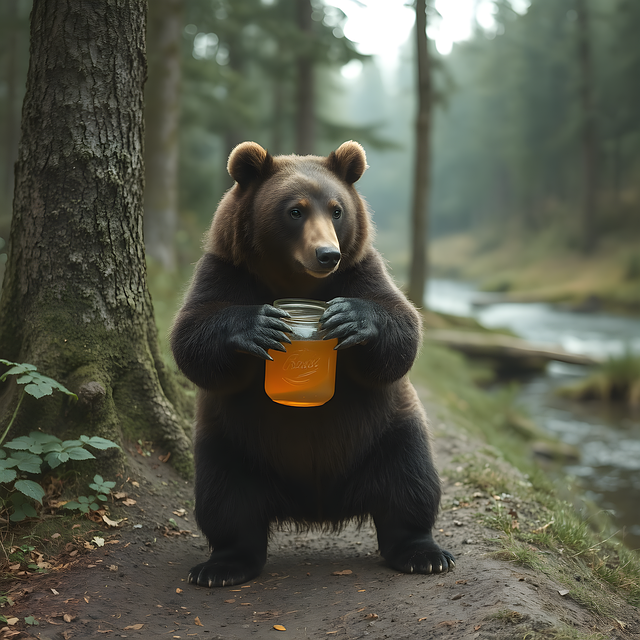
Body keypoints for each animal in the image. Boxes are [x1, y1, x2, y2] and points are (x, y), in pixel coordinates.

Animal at [170, 141, 454, 588]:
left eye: (337, 210)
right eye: (295, 210)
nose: (327, 254)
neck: (297, 283)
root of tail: (317, 507)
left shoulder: (361, 271)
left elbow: (402, 329)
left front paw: (349, 318)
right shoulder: (226, 272)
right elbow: (193, 335)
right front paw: (261, 325)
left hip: (387, 431)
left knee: (411, 484)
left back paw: (422, 553)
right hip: (233, 442)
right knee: (225, 499)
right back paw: (222, 566)